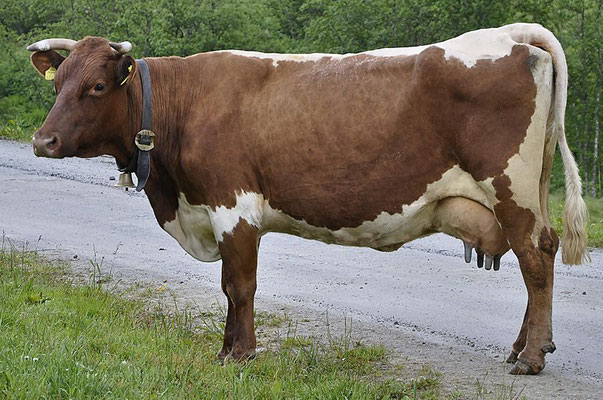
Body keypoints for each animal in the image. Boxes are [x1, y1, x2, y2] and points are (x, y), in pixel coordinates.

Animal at [28, 22, 588, 376]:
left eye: (97, 87)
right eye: (58, 84)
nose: (42, 141)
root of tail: (510, 35)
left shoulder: (234, 208)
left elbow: (239, 286)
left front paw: (239, 355)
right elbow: (230, 289)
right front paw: (226, 350)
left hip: (511, 190)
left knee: (536, 259)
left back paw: (532, 358)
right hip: (526, 193)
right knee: (540, 254)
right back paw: (523, 347)